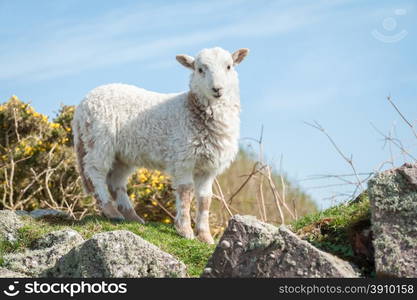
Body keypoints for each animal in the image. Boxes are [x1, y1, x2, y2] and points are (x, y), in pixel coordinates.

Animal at [72, 47, 247, 244]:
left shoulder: (208, 166)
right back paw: (110, 210)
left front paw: (205, 237)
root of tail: (82, 105)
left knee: (116, 181)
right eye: (200, 69)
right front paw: (185, 230)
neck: (192, 109)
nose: (217, 89)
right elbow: (186, 193)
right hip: (98, 140)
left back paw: (132, 217)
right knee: (96, 172)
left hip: (122, 154)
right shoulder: (182, 158)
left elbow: (205, 199)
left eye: (229, 67)